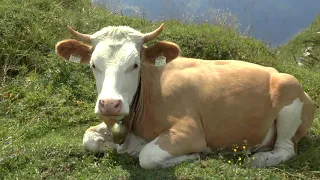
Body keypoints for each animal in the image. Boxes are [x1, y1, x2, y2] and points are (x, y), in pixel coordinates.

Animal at [55, 23, 316, 169]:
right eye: (93, 65)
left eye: (135, 65)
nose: (110, 104)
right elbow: (88, 138)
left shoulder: (189, 131)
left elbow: (147, 155)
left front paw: (192, 155)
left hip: (290, 96)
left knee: (286, 148)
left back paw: (258, 159)